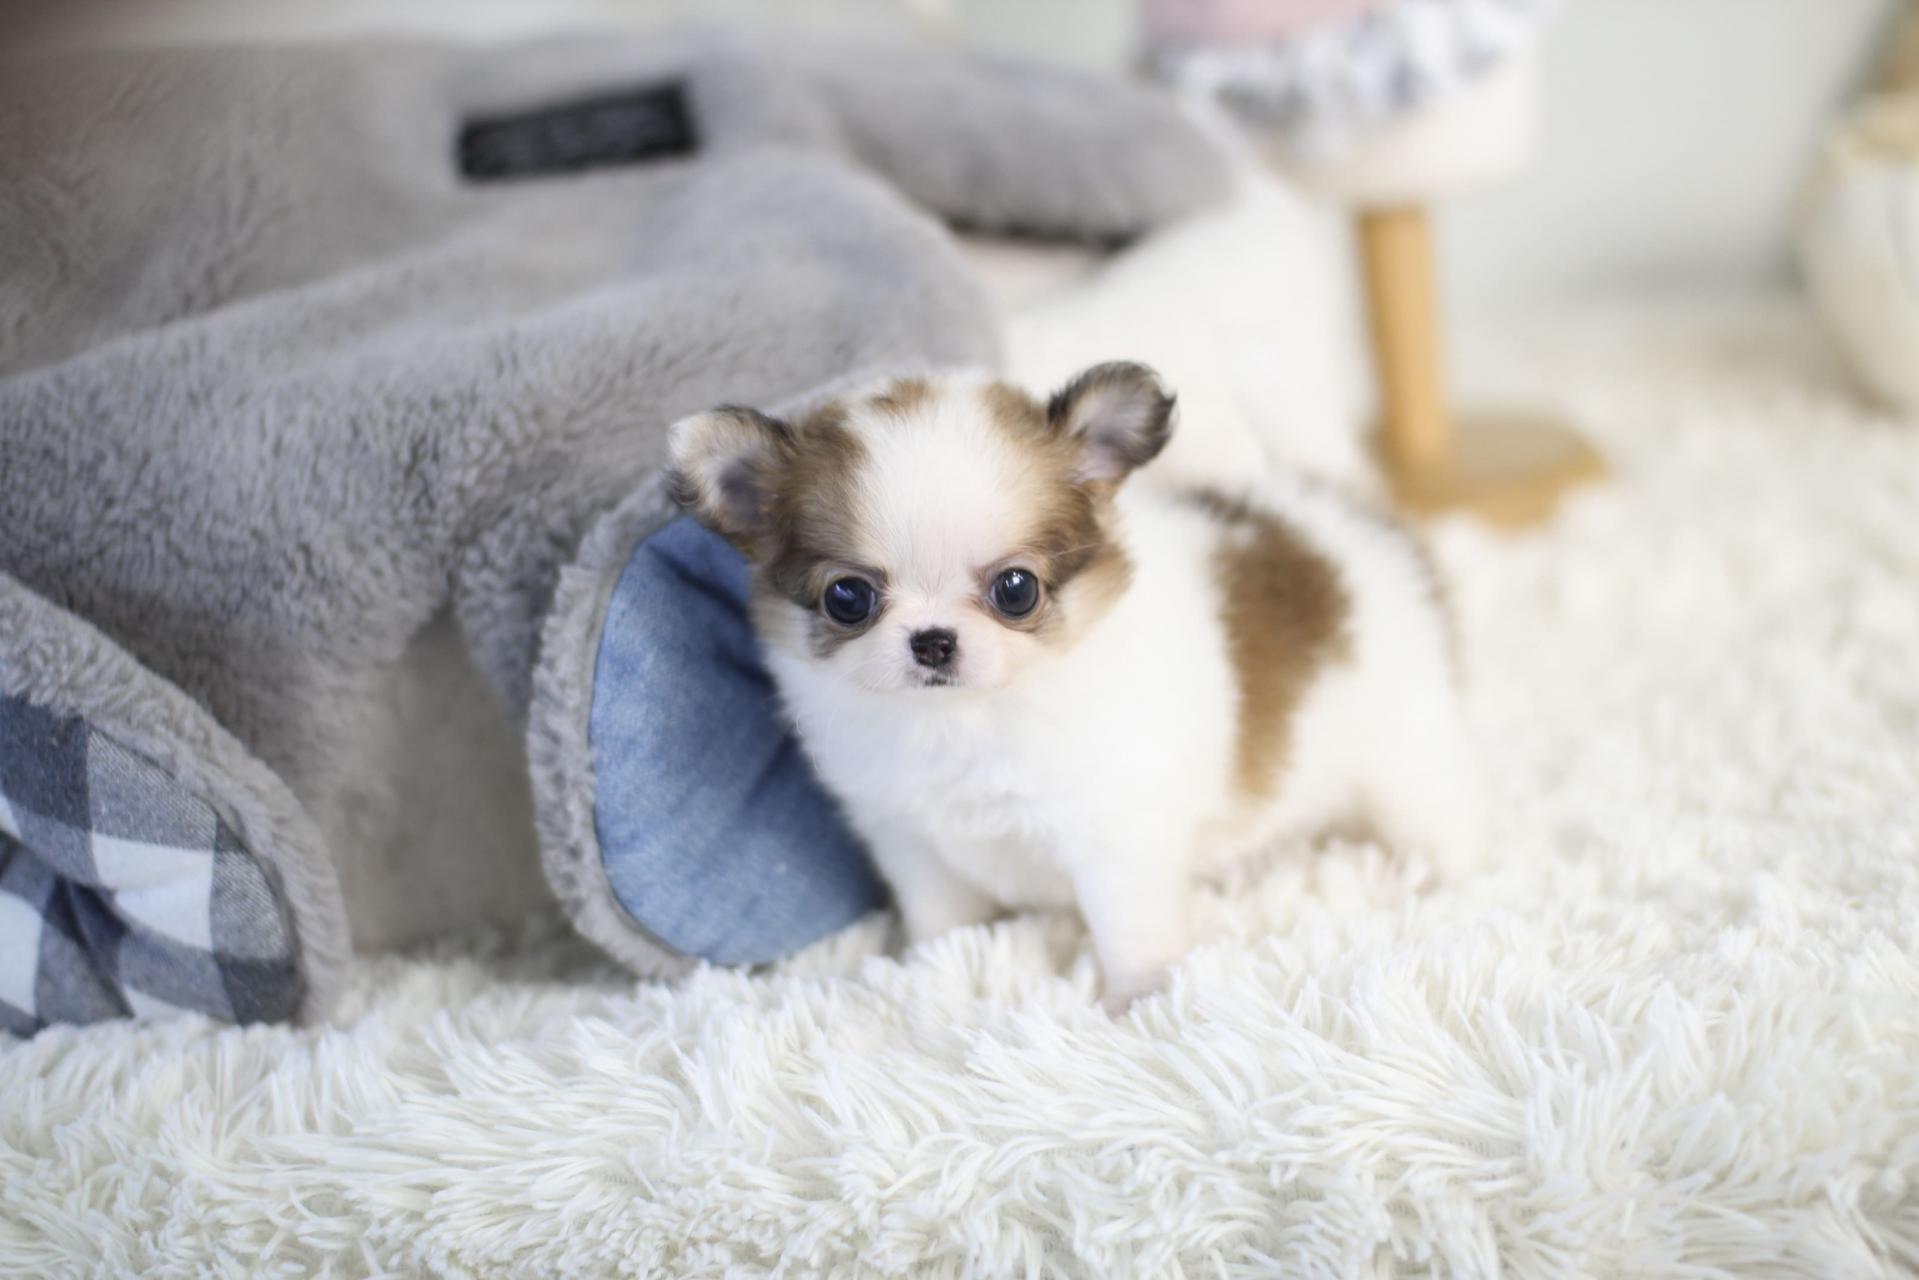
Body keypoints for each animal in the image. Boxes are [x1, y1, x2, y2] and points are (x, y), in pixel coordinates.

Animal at [669, 362, 1479, 1007]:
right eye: (847, 598)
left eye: (1016, 590)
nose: (932, 640)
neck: (966, 720)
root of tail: (1351, 521)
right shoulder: (909, 837)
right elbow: (938, 918)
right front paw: (929, 972)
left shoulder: (1112, 837)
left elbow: (1128, 931)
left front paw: (1140, 1000)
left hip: (1403, 760)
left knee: (1439, 818)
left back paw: (1452, 883)